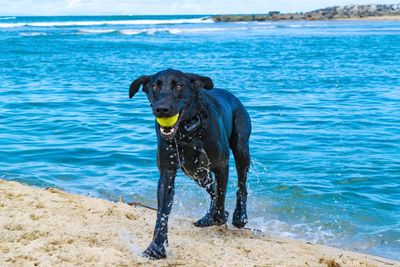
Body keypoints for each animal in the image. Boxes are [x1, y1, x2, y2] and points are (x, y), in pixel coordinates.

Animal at [130, 69, 252, 260]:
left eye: (179, 85)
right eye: (155, 86)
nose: (161, 109)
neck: (187, 132)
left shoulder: (221, 165)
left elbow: (221, 198)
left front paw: (220, 217)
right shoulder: (167, 173)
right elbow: (162, 214)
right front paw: (156, 248)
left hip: (241, 148)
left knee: (241, 185)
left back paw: (240, 216)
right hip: (196, 172)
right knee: (212, 189)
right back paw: (209, 217)